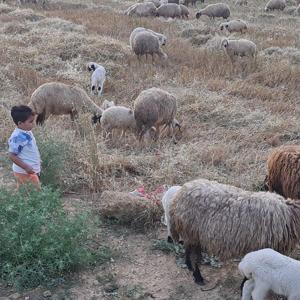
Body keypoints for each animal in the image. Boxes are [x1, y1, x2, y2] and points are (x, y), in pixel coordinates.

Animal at [170, 178, 300, 286]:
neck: (290, 215)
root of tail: (180, 193)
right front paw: (243, 285)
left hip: (192, 235)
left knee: (188, 249)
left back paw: (189, 265)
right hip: (192, 232)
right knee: (193, 255)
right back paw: (198, 277)